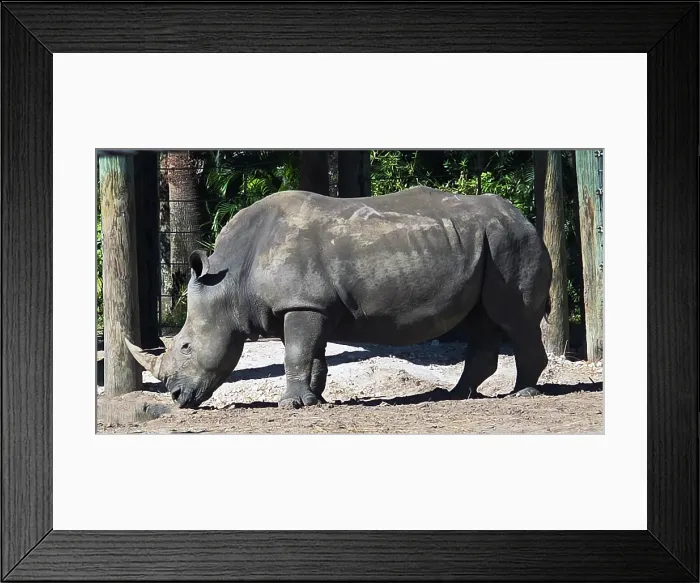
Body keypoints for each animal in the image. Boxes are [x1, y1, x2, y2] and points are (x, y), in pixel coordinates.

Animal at [126, 186, 552, 409]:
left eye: (184, 346)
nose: (177, 396)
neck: (230, 282)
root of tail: (526, 218)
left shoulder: (302, 303)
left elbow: (296, 354)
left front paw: (290, 405)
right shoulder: (307, 306)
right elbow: (312, 356)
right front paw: (313, 400)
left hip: (512, 242)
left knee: (516, 320)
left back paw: (523, 393)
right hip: (488, 243)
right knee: (485, 320)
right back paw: (457, 395)